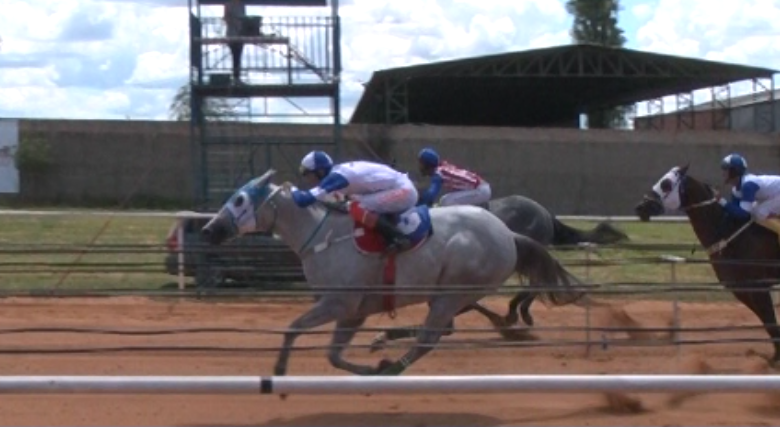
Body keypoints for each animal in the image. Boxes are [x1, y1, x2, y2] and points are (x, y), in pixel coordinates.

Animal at [201, 171, 584, 378]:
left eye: (239, 200)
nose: (208, 230)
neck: (323, 235)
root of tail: (509, 234)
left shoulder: (338, 303)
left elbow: (293, 328)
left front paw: (280, 369)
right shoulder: (353, 311)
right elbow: (333, 355)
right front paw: (367, 367)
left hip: (453, 291)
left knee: (430, 338)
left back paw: (394, 365)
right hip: (449, 294)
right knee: (440, 330)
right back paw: (385, 346)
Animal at [632, 163, 780, 362]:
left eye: (666, 184)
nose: (641, 208)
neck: (727, 231)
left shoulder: (758, 286)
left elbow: (770, 320)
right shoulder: (739, 287)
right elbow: (766, 321)